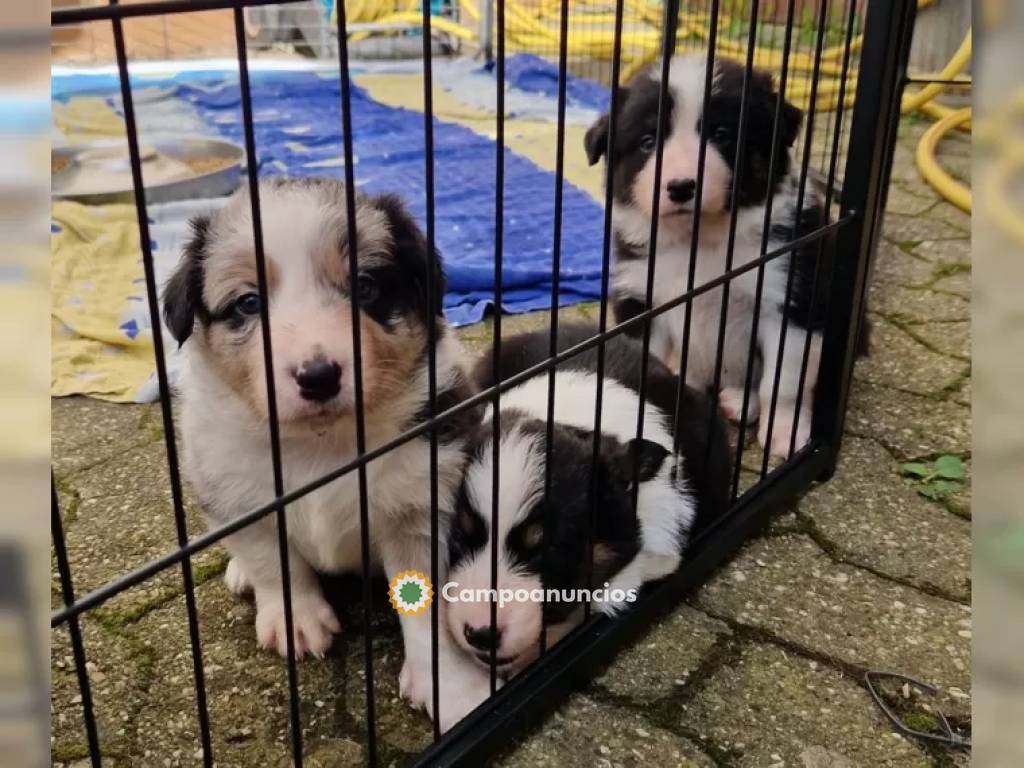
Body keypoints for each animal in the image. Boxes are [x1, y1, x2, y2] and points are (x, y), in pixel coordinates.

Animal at [161, 179, 489, 733]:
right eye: (247, 303)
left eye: (365, 286)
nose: (317, 376)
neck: (321, 445)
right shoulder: (236, 494)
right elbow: (272, 561)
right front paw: (297, 621)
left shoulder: (423, 504)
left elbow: (426, 604)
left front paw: (452, 689)